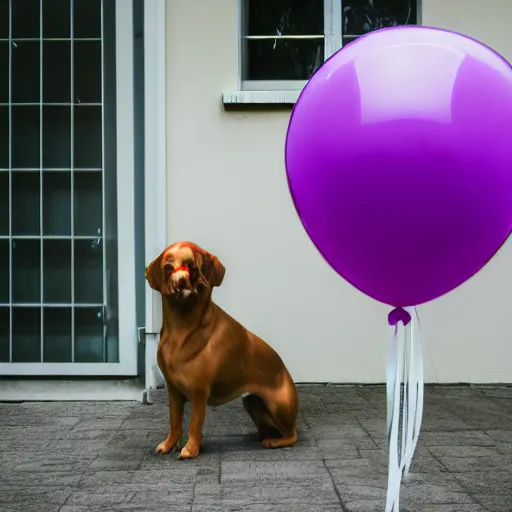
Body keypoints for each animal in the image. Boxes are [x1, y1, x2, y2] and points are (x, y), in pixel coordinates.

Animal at [145, 242, 300, 458]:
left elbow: (194, 425)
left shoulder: (199, 393)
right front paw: (169, 445)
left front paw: (190, 449)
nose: (181, 280)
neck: (181, 330)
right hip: (252, 404)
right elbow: (175, 422)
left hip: (278, 406)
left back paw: (274, 441)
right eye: (168, 268)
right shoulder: (174, 391)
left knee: (292, 435)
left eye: (193, 268)